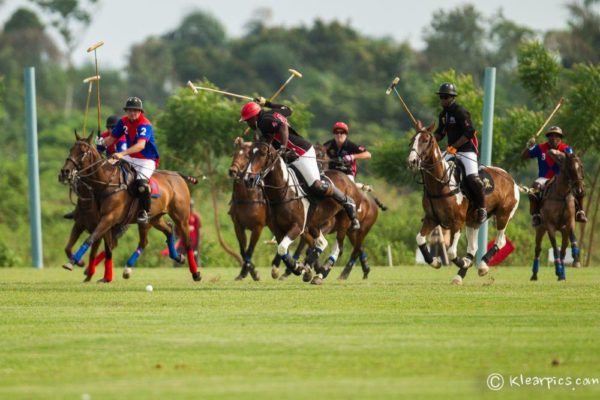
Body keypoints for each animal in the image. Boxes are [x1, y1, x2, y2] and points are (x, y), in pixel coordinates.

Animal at [59, 131, 200, 282]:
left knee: (187, 242)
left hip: (181, 216)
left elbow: (91, 239)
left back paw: (196, 273)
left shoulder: (109, 218)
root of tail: (177, 175)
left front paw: (73, 262)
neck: (106, 183)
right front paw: (105, 277)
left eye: (83, 151)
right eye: (71, 149)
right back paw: (177, 257)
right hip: (154, 218)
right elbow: (107, 249)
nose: (65, 172)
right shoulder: (101, 222)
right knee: (166, 231)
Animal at [241, 141, 364, 284]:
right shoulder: (278, 229)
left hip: (343, 222)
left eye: (262, 154)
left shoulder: (297, 227)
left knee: (337, 247)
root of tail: (350, 181)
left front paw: (298, 268)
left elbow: (282, 248)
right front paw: (298, 267)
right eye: (249, 154)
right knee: (321, 242)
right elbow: (283, 250)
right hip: (314, 224)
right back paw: (310, 269)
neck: (283, 192)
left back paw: (320, 274)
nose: (248, 179)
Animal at [408, 121, 520, 284]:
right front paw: (435, 262)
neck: (441, 183)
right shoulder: (431, 218)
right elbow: (420, 239)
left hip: (503, 215)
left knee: (500, 241)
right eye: (412, 140)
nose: (412, 162)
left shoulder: (457, 222)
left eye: (425, 140)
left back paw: (482, 266)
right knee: (473, 247)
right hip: (473, 220)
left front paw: (464, 262)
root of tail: (512, 180)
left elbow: (451, 252)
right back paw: (459, 276)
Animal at [532, 148, 584, 280]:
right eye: (570, 168)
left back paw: (563, 273)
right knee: (538, 249)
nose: (579, 190)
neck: (561, 195)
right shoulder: (550, 226)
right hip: (540, 228)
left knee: (564, 249)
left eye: (581, 166)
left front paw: (576, 258)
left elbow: (570, 240)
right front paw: (558, 269)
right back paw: (534, 274)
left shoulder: (569, 222)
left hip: (562, 231)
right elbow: (555, 248)